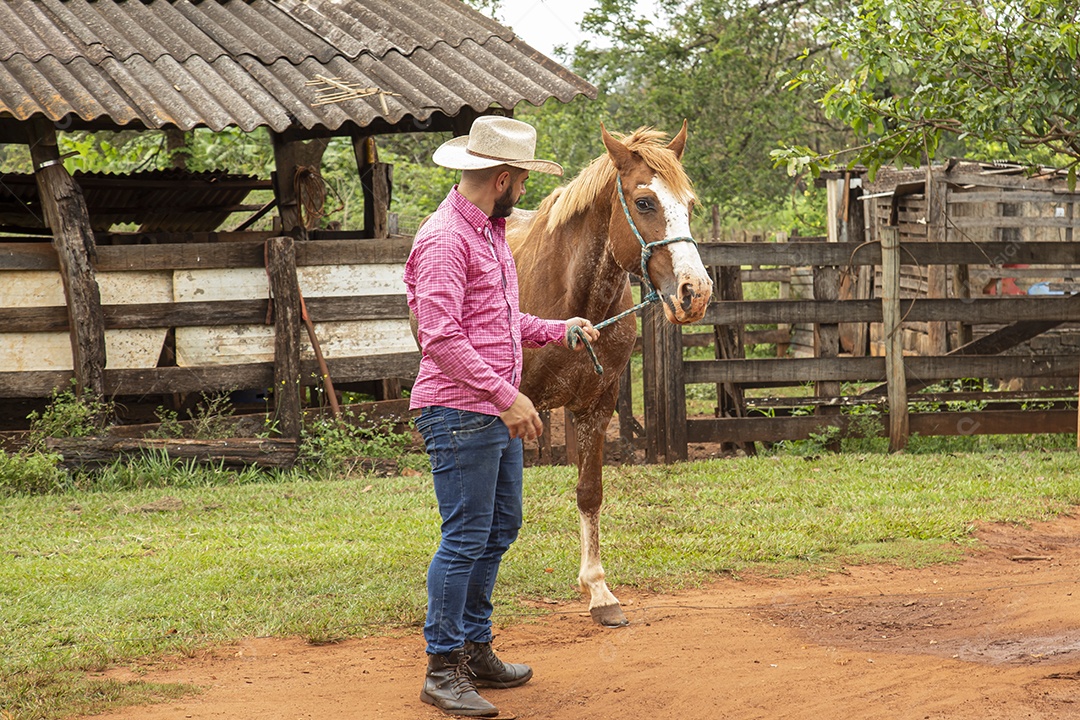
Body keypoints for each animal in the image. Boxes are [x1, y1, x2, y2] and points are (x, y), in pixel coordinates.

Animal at [506, 121, 713, 627]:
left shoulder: (597, 405)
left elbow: (589, 492)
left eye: (690, 204)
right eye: (645, 202)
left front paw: (599, 591)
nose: (695, 292)